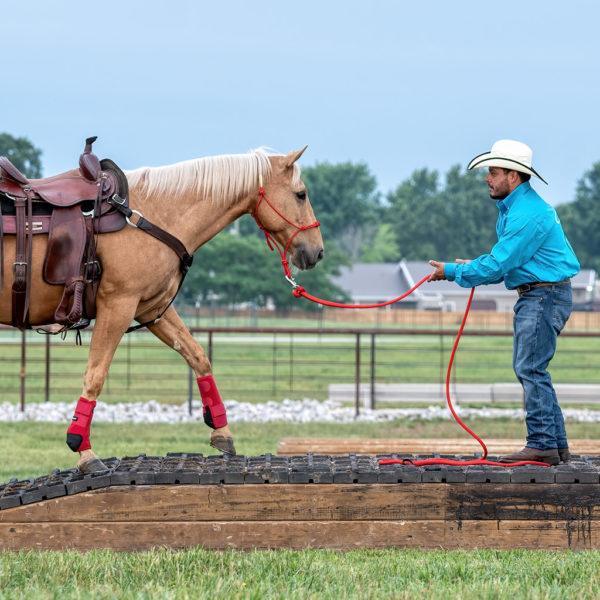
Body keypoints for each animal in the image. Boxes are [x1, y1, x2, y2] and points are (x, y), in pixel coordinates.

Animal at [0, 146, 324, 472]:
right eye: (301, 194)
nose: (317, 251)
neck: (151, 215)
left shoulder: (152, 309)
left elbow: (198, 356)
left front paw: (221, 430)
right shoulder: (118, 305)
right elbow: (95, 375)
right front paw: (83, 449)